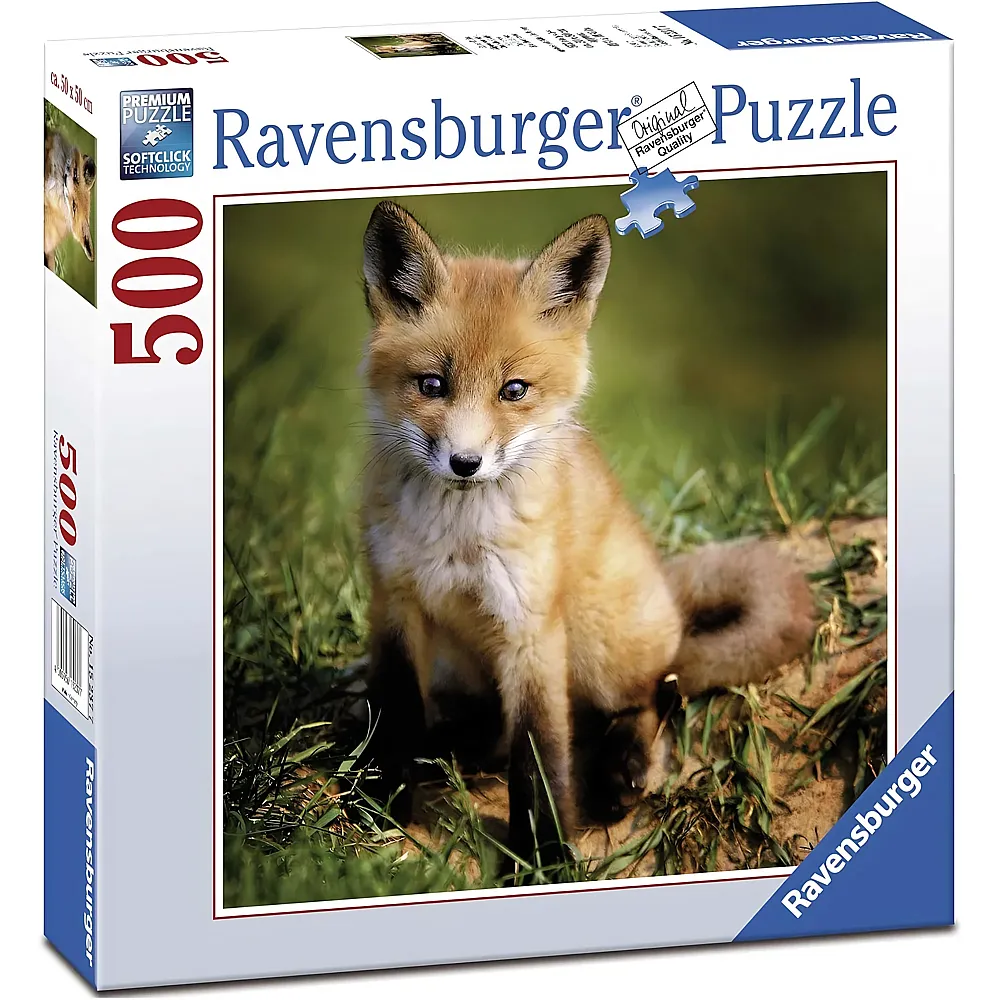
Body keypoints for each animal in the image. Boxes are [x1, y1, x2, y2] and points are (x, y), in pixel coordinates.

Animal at [359, 200, 815, 867]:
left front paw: (544, 857)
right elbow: (393, 715)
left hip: (599, 642)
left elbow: (540, 754)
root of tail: (663, 582)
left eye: (513, 390)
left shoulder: (530, 628)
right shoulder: (394, 604)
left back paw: (622, 770)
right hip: (461, 660)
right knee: (490, 732)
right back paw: (453, 746)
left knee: (656, 694)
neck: (458, 535)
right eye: (432, 385)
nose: (465, 464)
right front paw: (379, 809)